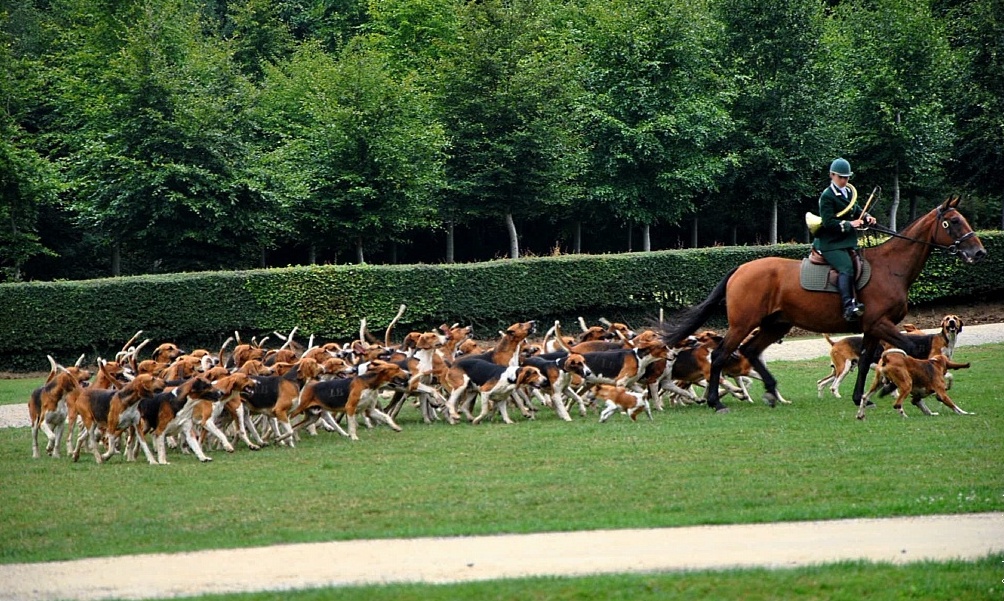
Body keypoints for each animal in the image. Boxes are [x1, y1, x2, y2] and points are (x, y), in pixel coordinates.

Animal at [662, 197, 983, 419]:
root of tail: (740, 268)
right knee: (720, 355)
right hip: (743, 324)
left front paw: (862, 397)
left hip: (775, 324)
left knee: (751, 351)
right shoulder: (880, 323)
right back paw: (716, 402)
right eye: (953, 221)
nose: (978, 252)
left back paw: (771, 393)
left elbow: (865, 361)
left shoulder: (871, 328)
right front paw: (896, 387)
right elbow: (911, 349)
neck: (891, 268)